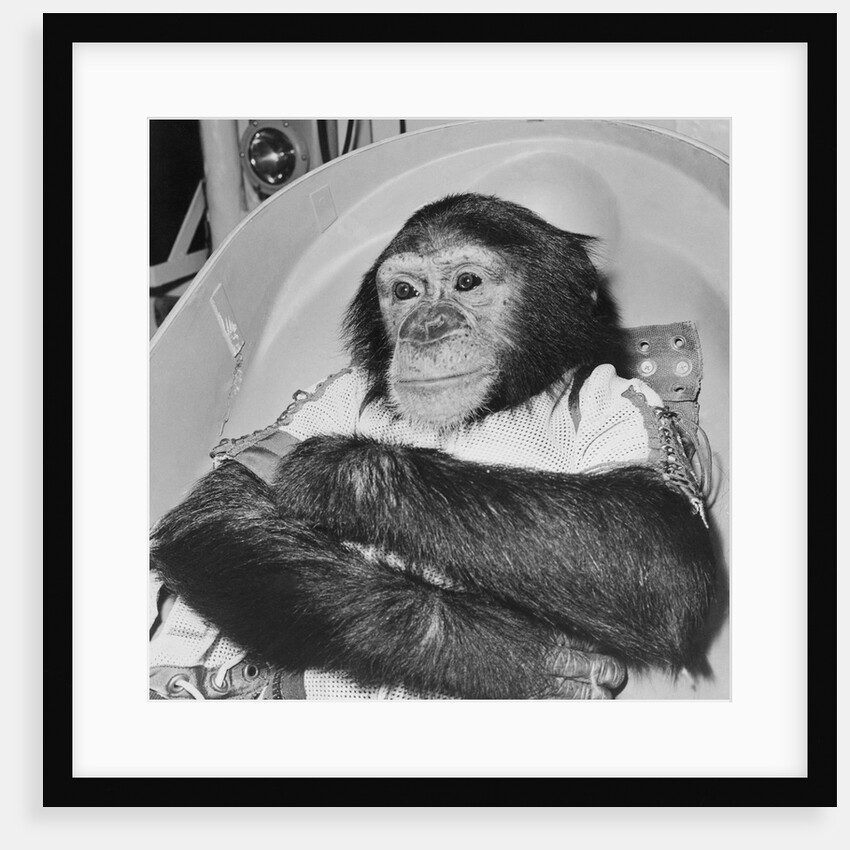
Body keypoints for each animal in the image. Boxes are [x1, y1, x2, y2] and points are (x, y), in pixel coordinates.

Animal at [150, 192, 717, 700]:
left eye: (467, 283)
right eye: (404, 291)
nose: (426, 326)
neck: (494, 405)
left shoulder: (624, 399)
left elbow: (655, 541)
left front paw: (337, 470)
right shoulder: (330, 391)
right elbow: (226, 510)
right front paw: (503, 654)